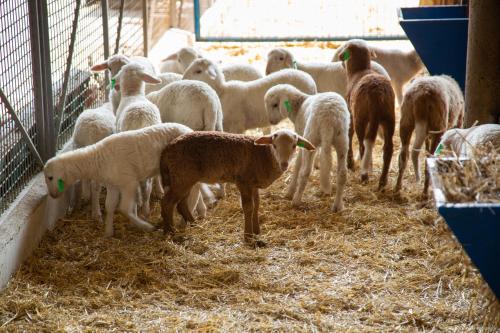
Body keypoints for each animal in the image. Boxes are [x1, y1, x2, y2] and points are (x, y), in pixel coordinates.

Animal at [44, 122, 197, 236]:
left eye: (50, 177)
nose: (52, 195)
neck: (97, 160)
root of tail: (189, 129)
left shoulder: (129, 183)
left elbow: (123, 208)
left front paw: (145, 226)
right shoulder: (113, 185)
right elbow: (109, 206)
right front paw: (108, 232)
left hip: (184, 171)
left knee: (194, 194)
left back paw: (186, 221)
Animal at [160, 130, 314, 246]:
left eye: (294, 146)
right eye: (274, 146)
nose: (284, 164)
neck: (263, 155)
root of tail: (166, 150)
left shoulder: (254, 184)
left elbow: (257, 205)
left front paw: (256, 230)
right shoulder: (243, 181)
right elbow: (248, 207)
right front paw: (248, 236)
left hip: (184, 179)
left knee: (181, 203)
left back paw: (194, 224)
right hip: (182, 177)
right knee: (167, 202)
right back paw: (170, 232)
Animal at [342, 39, 396, 189]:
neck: (359, 70)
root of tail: (377, 92)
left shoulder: (351, 113)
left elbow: (349, 134)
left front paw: (350, 164)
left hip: (361, 117)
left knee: (362, 145)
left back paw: (364, 175)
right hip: (389, 118)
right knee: (388, 149)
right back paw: (382, 181)